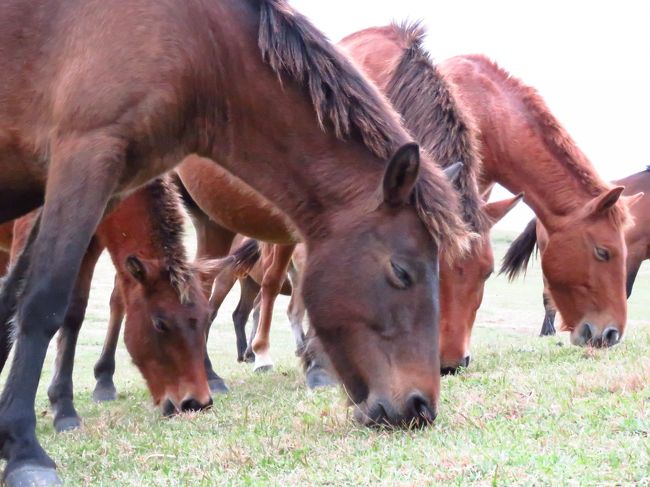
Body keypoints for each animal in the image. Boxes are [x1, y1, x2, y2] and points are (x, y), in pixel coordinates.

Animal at [2, 179, 213, 430]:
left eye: (206, 318)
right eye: (160, 323)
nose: (197, 403)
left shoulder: (89, 248)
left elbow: (74, 313)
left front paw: (62, 406)